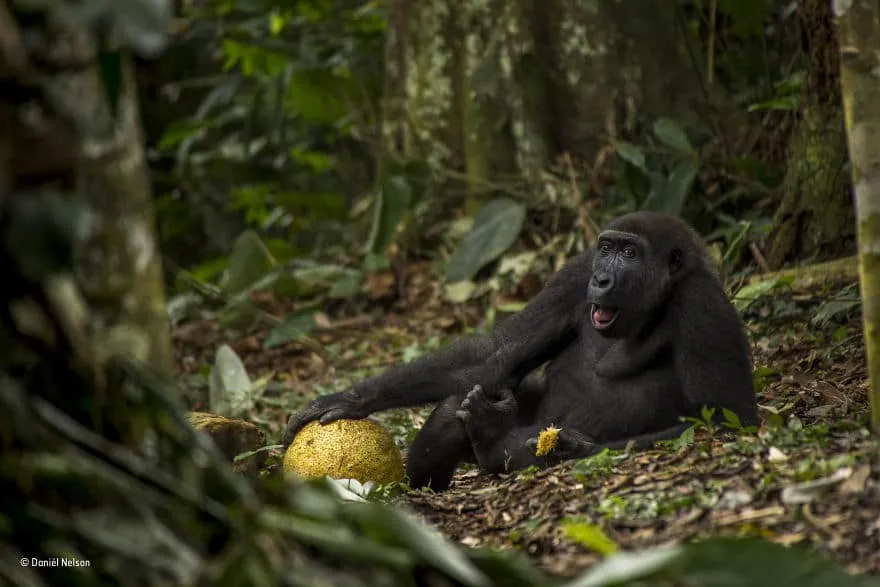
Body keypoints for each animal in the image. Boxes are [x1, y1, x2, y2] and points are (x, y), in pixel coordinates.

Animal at [282, 211, 756, 492]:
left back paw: (493, 441)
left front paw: (573, 448)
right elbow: (495, 356)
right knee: (461, 399)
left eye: (630, 253)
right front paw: (352, 398)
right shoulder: (575, 274)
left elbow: (725, 419)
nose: (602, 279)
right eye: (606, 249)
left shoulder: (702, 303)